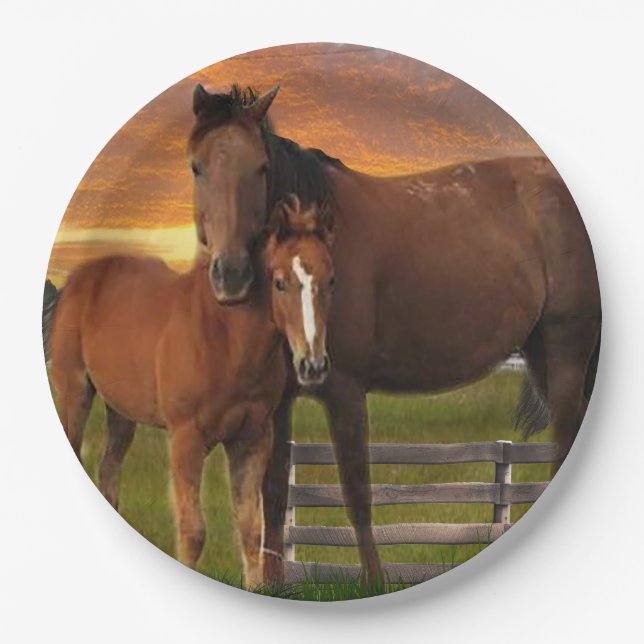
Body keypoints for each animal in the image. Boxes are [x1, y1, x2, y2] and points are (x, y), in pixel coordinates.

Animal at [46, 195, 335, 588]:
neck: (227, 342)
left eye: (331, 280)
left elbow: (251, 530)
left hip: (121, 412)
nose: (313, 365)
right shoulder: (186, 438)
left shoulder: (253, 439)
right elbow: (193, 530)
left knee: (108, 472)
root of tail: (80, 277)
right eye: (279, 283)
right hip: (74, 393)